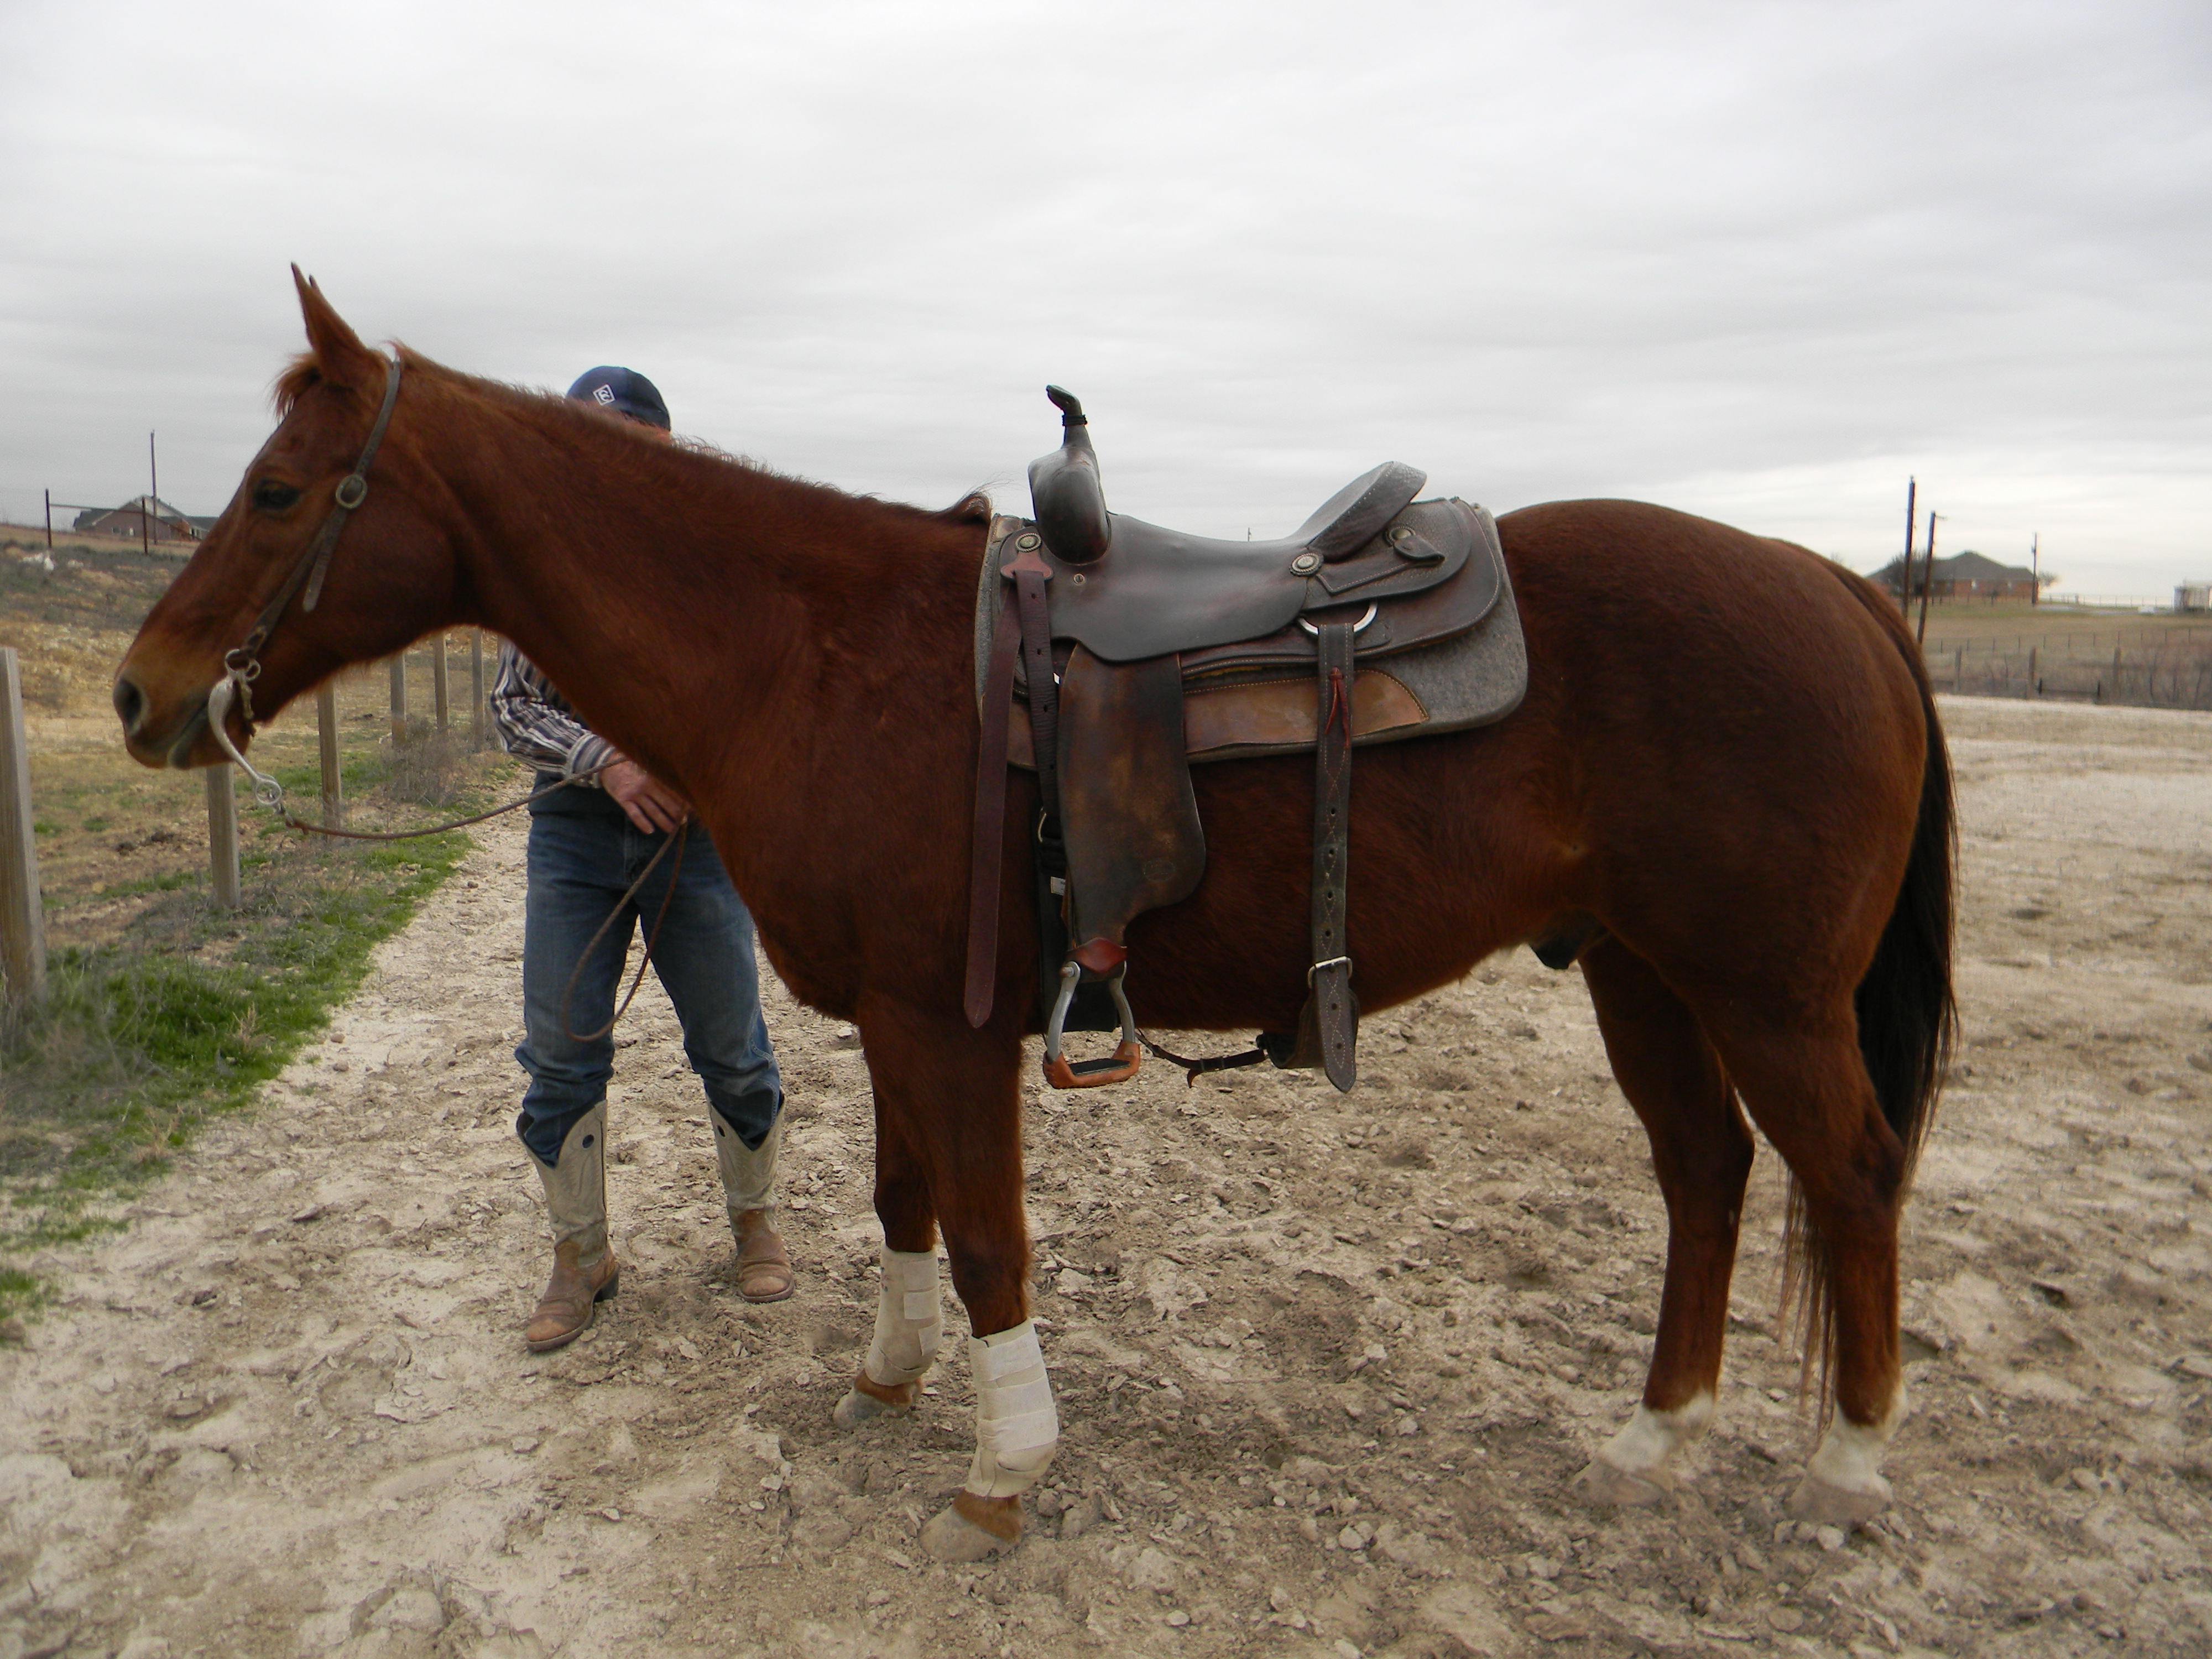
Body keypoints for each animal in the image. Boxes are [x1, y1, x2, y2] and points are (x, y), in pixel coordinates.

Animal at [114, 272, 1953, 1561]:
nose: (142, 694)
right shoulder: (898, 1017)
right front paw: (889, 1376)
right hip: (1642, 975)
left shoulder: (955, 1022)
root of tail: (1838, 588)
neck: (814, 652)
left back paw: (1853, 1474)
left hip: (1765, 994)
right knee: (1707, 1177)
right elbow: (900, 1201)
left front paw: (1004, 1470)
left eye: (279, 491)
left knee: (1851, 1176)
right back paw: (1656, 1437)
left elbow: (990, 1235)